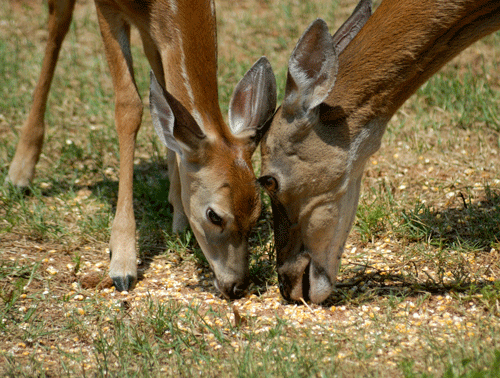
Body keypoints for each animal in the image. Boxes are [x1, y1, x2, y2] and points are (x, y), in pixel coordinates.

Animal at [5, 0, 276, 302]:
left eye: (258, 214)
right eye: (214, 215)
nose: (237, 286)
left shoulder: (157, 28)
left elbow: (164, 100)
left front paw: (179, 217)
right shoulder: (107, 8)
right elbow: (129, 106)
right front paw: (122, 262)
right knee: (56, 28)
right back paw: (19, 172)